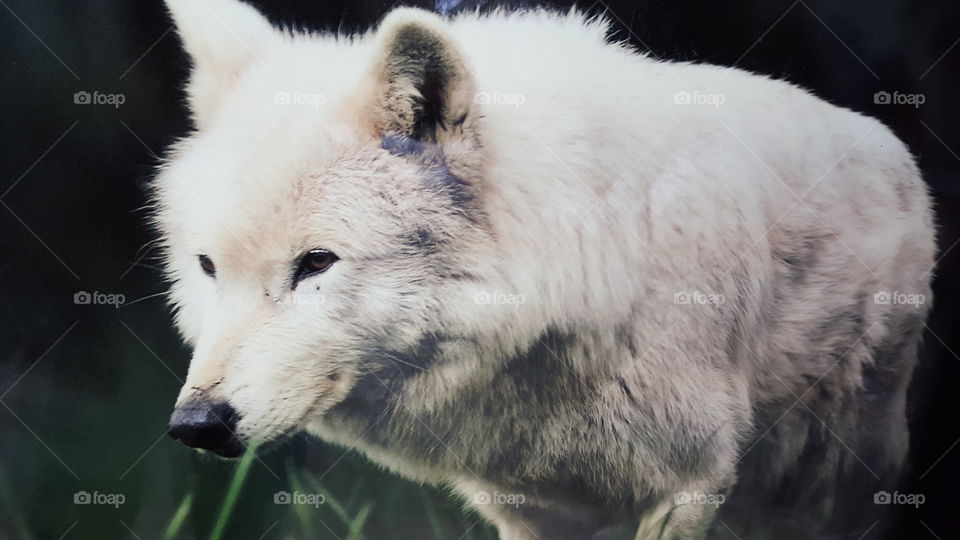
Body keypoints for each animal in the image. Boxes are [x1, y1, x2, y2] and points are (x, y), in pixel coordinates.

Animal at [156, 0, 935, 538]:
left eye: (316, 262)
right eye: (208, 266)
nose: (196, 424)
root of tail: (892, 151)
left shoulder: (687, 486)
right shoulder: (529, 505)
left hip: (840, 478)